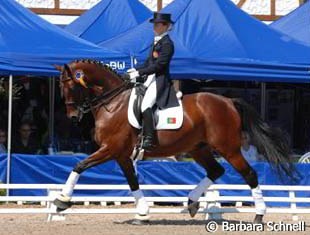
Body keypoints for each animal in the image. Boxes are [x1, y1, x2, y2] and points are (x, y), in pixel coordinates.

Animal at [54, 58, 296, 224]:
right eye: (60, 88)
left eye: (70, 86)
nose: (73, 117)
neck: (113, 102)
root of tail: (228, 101)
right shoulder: (121, 155)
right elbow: (132, 182)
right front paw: (142, 214)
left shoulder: (110, 149)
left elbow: (79, 165)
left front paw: (62, 201)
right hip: (199, 148)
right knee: (216, 171)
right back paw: (191, 202)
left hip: (228, 149)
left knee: (249, 174)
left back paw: (259, 215)